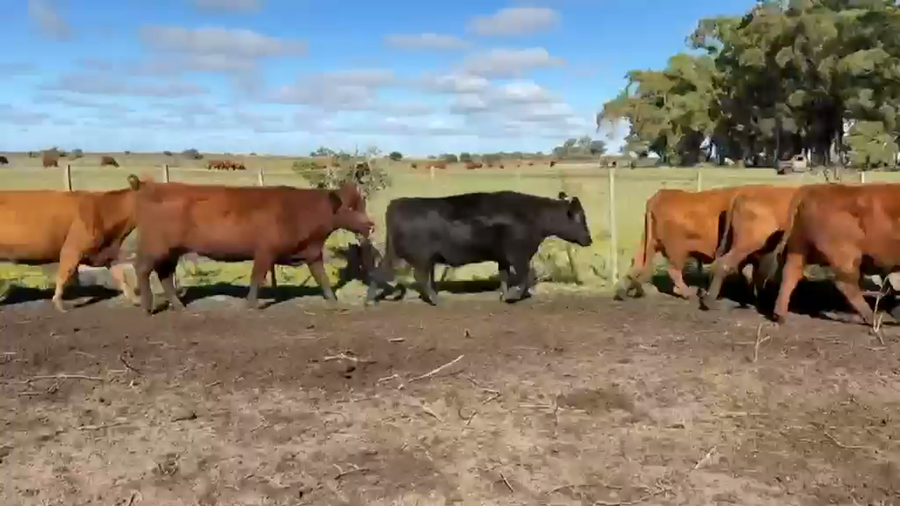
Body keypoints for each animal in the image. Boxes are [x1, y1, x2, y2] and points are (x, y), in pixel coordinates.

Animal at [0, 177, 142, 312]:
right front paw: (59, 303)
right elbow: (64, 274)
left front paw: (136, 300)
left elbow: (121, 276)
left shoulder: (104, 253)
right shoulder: (71, 250)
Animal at [130, 178, 375, 313]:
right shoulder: (265, 251)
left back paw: (178, 306)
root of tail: (148, 188)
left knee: (164, 275)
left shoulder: (312, 253)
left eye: (362, 205)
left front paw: (335, 302)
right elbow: (257, 276)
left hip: (171, 251)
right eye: (350, 208)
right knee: (142, 269)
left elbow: (322, 278)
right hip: (155, 247)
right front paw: (252, 304)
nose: (371, 225)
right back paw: (146, 307)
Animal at [365, 191, 593, 306]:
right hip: (420, 257)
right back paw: (437, 300)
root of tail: (397, 203)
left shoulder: (503, 257)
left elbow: (505, 276)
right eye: (580, 217)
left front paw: (503, 295)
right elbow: (527, 276)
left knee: (379, 271)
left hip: (396, 253)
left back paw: (370, 301)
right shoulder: (518, 255)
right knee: (421, 277)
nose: (589, 240)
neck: (531, 215)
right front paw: (513, 296)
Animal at [614, 186, 744, 301]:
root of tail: (657, 198)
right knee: (673, 271)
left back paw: (625, 290)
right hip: (676, 250)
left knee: (638, 262)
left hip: (650, 242)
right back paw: (688, 294)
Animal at [761, 183, 900, 326]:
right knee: (846, 283)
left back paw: (779, 315)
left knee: (790, 274)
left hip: (799, 248)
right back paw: (873, 319)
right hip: (846, 255)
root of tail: (810, 190)